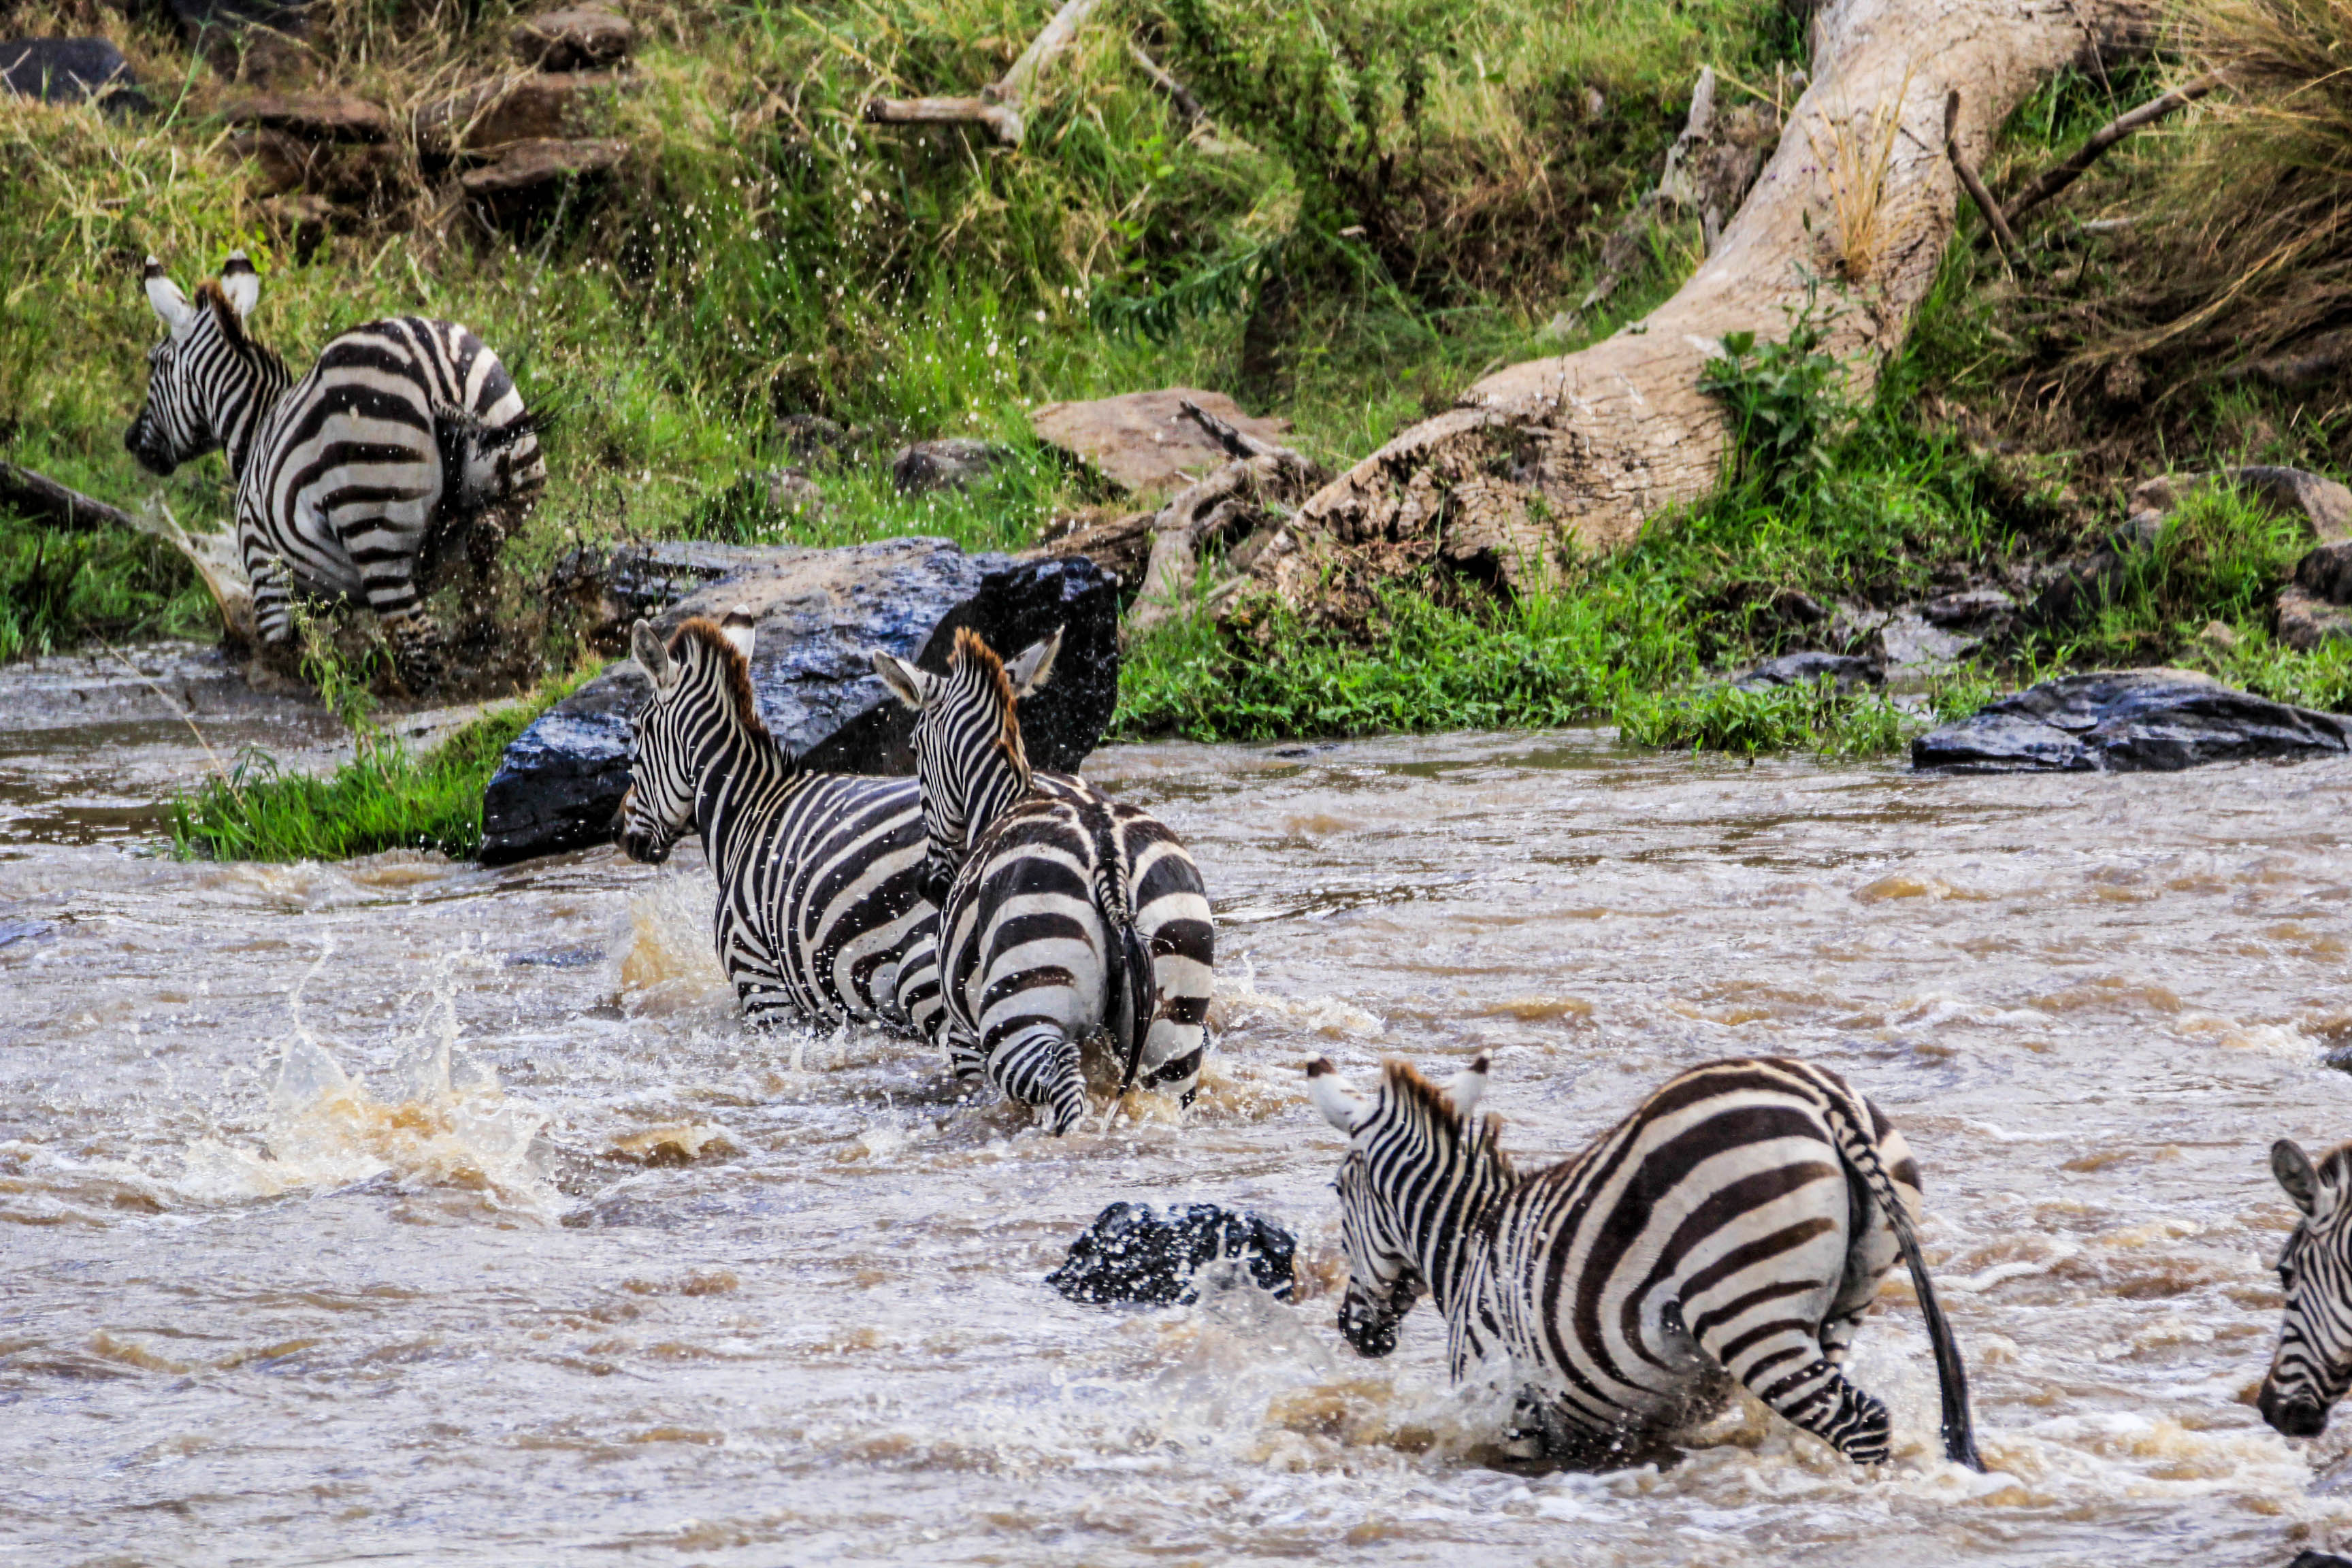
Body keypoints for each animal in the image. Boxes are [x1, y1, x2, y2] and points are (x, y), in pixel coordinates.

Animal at [126, 252, 543, 686]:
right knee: (484, 570)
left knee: (417, 638)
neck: (256, 426)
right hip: (513, 476)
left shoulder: (267, 577)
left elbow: (287, 656)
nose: (130, 441)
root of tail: (436, 373)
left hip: (376, 530)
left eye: (154, 364)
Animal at [875, 630, 1223, 1142]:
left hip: (1023, 1013)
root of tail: (1108, 855)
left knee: (1067, 1094)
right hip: (1175, 1022)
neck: (1004, 801)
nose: (931, 886)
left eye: (916, 750)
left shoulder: (964, 1035)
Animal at [1307, 1053, 1984, 1476]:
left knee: (1863, 1423)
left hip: (1747, 1310)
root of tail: (1823, 1098)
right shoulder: (1645, 1425)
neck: (1471, 1242)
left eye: (1337, 1191)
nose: (1354, 1330)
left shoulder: (1512, 1408)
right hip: (1842, 1307)